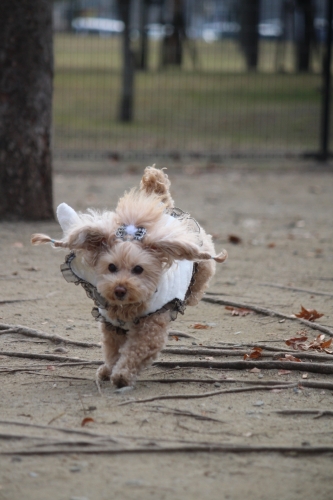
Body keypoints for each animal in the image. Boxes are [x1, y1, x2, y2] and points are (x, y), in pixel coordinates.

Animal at [31, 166, 226, 388]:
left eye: (138, 269)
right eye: (111, 267)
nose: (119, 289)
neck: (127, 308)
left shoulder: (151, 327)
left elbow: (135, 351)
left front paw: (121, 375)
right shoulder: (112, 326)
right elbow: (113, 350)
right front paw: (108, 369)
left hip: (201, 270)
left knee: (198, 285)